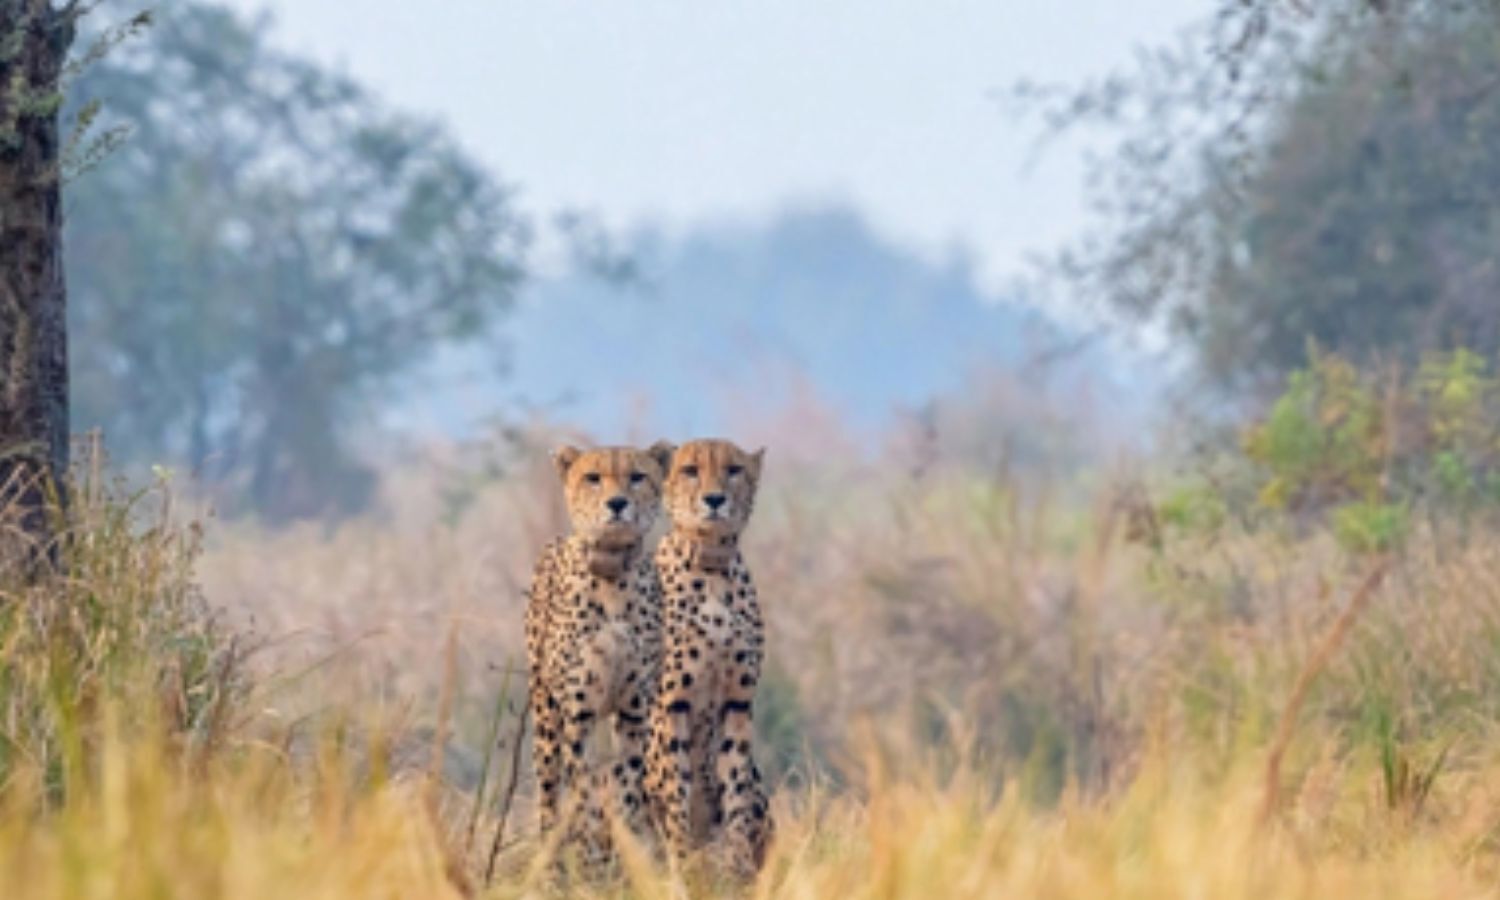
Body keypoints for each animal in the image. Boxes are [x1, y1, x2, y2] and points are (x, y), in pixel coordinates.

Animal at [524, 441, 674, 871]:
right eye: (593, 477)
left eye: (637, 476)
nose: (617, 503)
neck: (611, 577)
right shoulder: (579, 712)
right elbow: (585, 790)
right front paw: (590, 854)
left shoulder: (633, 712)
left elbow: (625, 788)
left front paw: (624, 851)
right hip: (545, 716)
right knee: (549, 794)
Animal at [644, 438, 773, 878]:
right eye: (690, 470)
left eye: (733, 469)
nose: (714, 499)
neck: (712, 567)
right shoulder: (672, 702)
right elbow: (676, 793)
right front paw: (681, 865)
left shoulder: (738, 700)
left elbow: (735, 787)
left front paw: (738, 861)